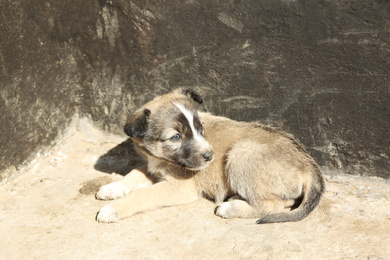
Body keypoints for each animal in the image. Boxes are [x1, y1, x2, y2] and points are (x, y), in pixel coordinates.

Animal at [96, 88, 324, 224]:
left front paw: (112, 209)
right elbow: (135, 172)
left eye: (200, 129)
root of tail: (309, 166)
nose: (210, 156)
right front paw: (112, 187)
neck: (161, 159)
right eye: (176, 137)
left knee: (273, 205)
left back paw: (231, 208)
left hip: (241, 153)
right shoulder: (154, 166)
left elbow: (143, 194)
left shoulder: (180, 187)